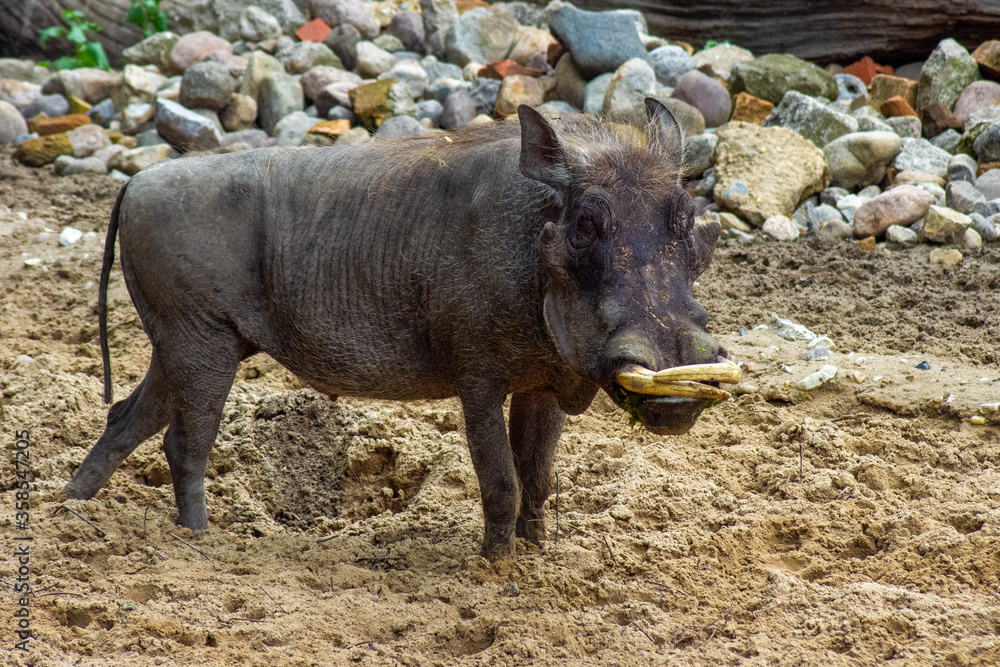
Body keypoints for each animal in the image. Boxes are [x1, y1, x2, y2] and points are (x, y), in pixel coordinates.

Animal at [65, 99, 725, 560]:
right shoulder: (478, 380)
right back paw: (199, 543)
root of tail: (135, 181)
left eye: (691, 218)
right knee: (184, 443)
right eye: (586, 223)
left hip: (175, 344)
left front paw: (535, 556)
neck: (528, 247)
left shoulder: (544, 382)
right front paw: (495, 567)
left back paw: (67, 510)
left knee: (125, 417)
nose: (678, 382)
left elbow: (537, 478)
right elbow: (500, 479)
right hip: (202, 342)